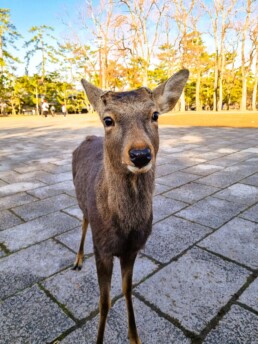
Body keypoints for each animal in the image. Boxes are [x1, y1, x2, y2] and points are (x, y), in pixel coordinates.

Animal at [71, 68, 188, 342]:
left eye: (155, 115)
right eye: (108, 120)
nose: (140, 154)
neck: (124, 229)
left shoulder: (133, 249)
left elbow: (127, 290)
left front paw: (134, 336)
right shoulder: (102, 248)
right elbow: (103, 302)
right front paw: (99, 339)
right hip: (81, 202)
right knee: (83, 221)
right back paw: (78, 260)